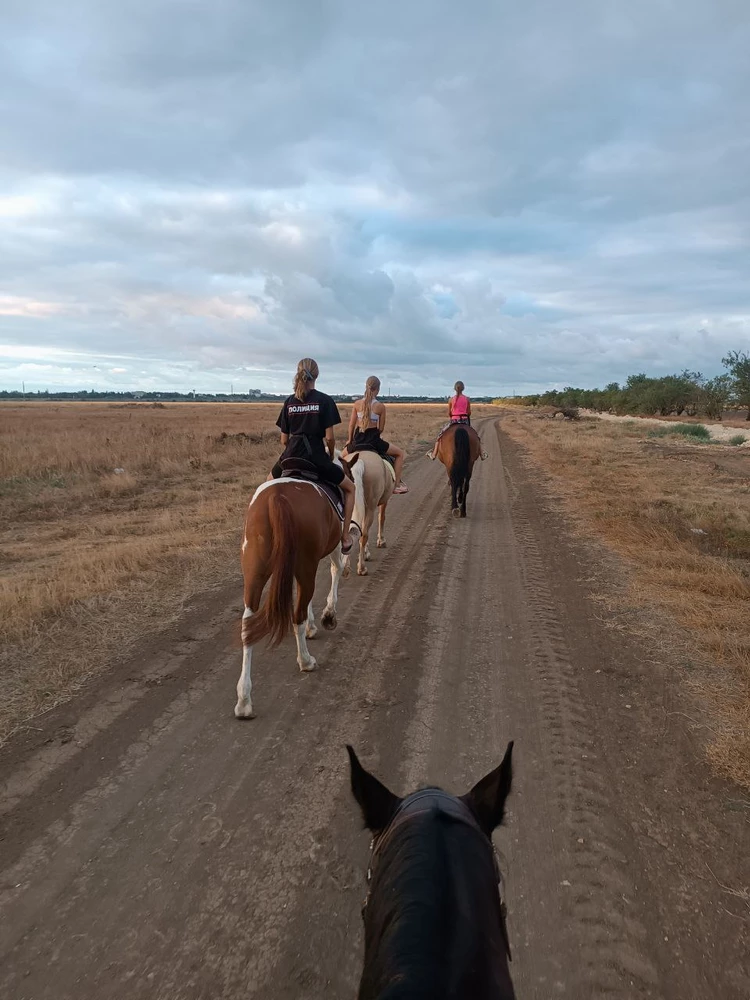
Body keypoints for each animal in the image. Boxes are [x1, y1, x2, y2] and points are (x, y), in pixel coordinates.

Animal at [236, 458, 356, 724]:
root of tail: (276, 498)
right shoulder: (331, 549)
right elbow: (335, 571)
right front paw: (327, 616)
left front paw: (314, 624)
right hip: (305, 564)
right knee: (297, 614)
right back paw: (306, 660)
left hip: (255, 572)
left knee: (248, 626)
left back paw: (244, 700)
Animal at [344, 448, 396, 576]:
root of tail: (359, 462)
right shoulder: (382, 502)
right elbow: (381, 517)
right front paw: (381, 541)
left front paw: (366, 553)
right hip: (371, 507)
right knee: (364, 535)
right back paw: (362, 568)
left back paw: (346, 568)